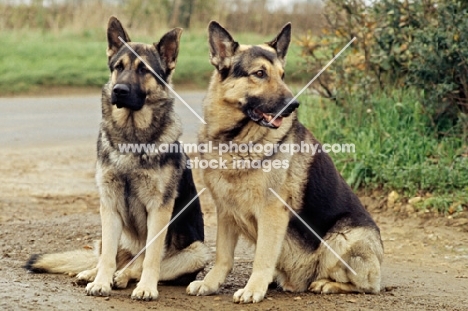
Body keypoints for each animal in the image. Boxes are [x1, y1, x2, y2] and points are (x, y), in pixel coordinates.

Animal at [25, 17, 208, 302]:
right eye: (118, 67)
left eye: (144, 70)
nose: (119, 90)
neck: (130, 139)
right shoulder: (109, 206)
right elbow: (108, 256)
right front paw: (100, 282)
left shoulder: (159, 210)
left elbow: (150, 258)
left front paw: (145, 287)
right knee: (110, 257)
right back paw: (95, 273)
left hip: (198, 251)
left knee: (138, 263)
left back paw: (123, 277)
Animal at [186, 22, 384, 304]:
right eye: (259, 73)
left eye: (282, 75)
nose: (293, 104)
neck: (235, 139)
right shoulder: (225, 211)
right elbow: (223, 256)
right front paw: (209, 283)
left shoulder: (271, 212)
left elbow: (262, 257)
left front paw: (253, 289)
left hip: (341, 237)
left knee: (366, 285)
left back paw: (326, 284)